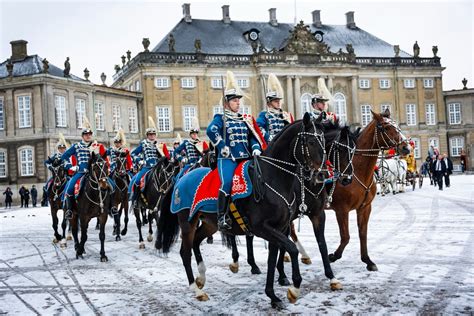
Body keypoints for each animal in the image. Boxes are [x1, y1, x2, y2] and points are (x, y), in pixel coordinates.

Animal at [157, 114, 328, 308]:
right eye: (310, 141)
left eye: (323, 139)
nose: (322, 174)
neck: (272, 179)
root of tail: (181, 178)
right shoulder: (262, 228)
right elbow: (291, 249)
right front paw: (294, 288)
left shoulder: (278, 228)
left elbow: (273, 259)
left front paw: (273, 295)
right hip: (188, 223)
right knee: (185, 253)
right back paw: (197, 290)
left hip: (209, 224)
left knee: (196, 241)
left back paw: (201, 277)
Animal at [328, 110, 410, 270]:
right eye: (385, 127)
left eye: (397, 125)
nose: (406, 147)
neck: (357, 171)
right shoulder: (341, 209)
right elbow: (345, 237)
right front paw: (333, 256)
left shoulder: (364, 208)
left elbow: (363, 233)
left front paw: (367, 260)